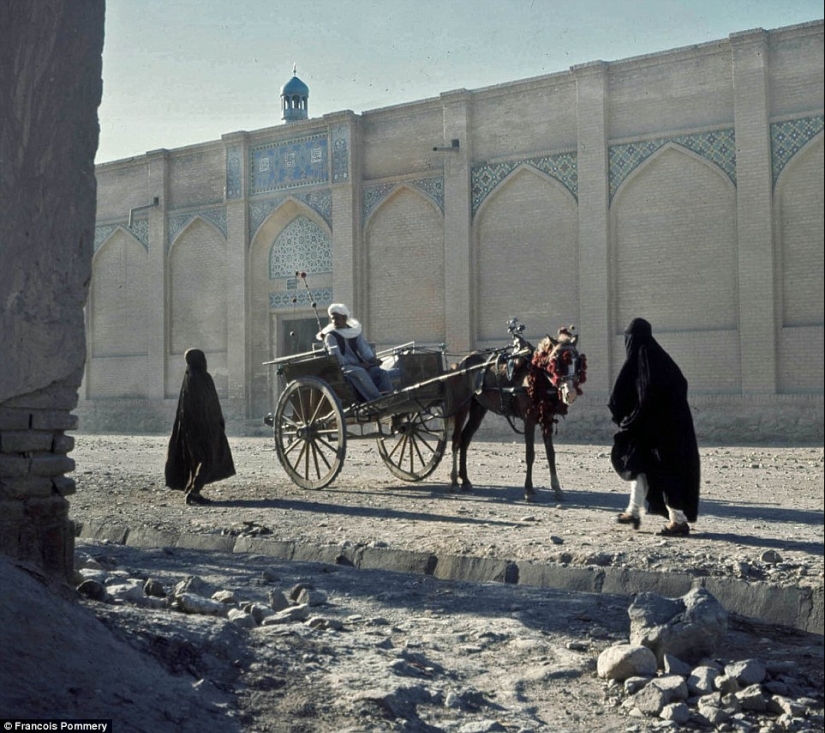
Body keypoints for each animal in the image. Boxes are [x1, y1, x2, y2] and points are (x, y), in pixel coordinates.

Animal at [444, 320, 584, 504]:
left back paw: (465, 480)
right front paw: (529, 490)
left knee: (465, 439)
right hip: (461, 406)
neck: (536, 379)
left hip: (478, 409)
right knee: (456, 440)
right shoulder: (529, 419)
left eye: (577, 360)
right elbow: (530, 453)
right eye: (555, 360)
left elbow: (551, 454)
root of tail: (459, 365)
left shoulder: (546, 419)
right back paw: (454, 480)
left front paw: (557, 488)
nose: (571, 393)